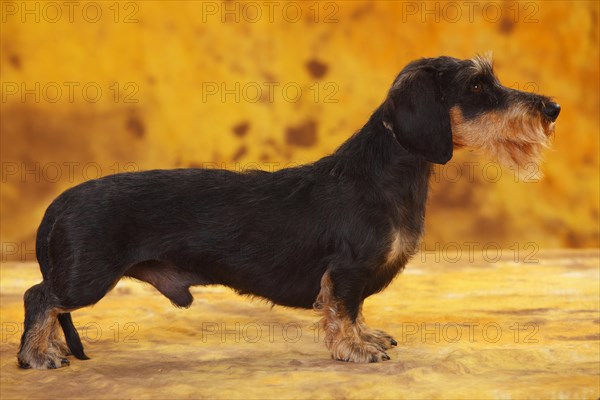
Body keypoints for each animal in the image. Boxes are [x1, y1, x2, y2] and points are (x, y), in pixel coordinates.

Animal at [19, 54, 564, 370]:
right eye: (476, 87)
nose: (552, 108)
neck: (381, 172)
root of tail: (59, 202)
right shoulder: (346, 271)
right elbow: (342, 311)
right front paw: (355, 349)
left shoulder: (355, 277)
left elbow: (357, 310)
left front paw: (368, 336)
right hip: (87, 278)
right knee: (39, 298)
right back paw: (37, 356)